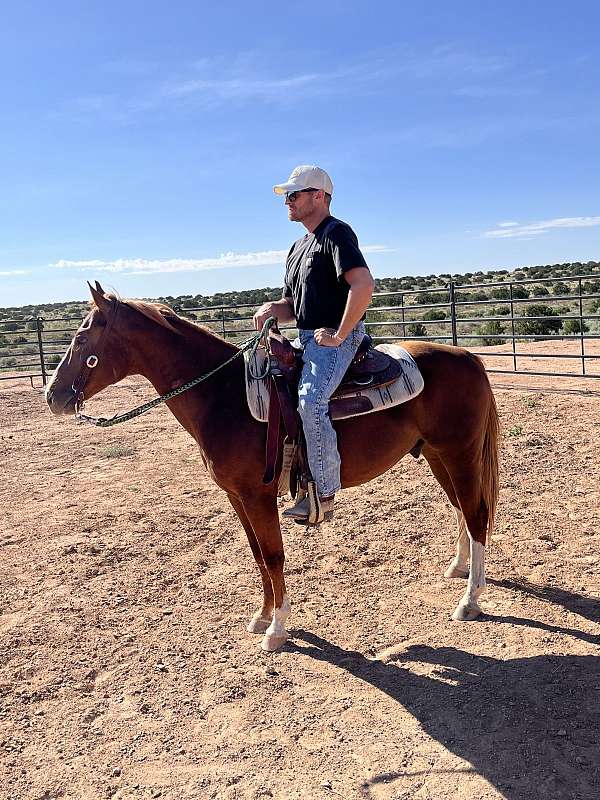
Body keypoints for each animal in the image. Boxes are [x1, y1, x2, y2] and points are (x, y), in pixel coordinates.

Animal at [45, 283, 500, 652]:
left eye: (82, 336)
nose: (53, 396)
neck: (222, 395)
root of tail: (469, 357)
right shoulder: (236, 496)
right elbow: (257, 555)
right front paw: (261, 616)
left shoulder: (258, 495)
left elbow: (274, 555)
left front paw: (277, 629)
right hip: (437, 455)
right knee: (461, 509)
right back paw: (458, 569)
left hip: (459, 452)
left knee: (476, 513)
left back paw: (469, 601)